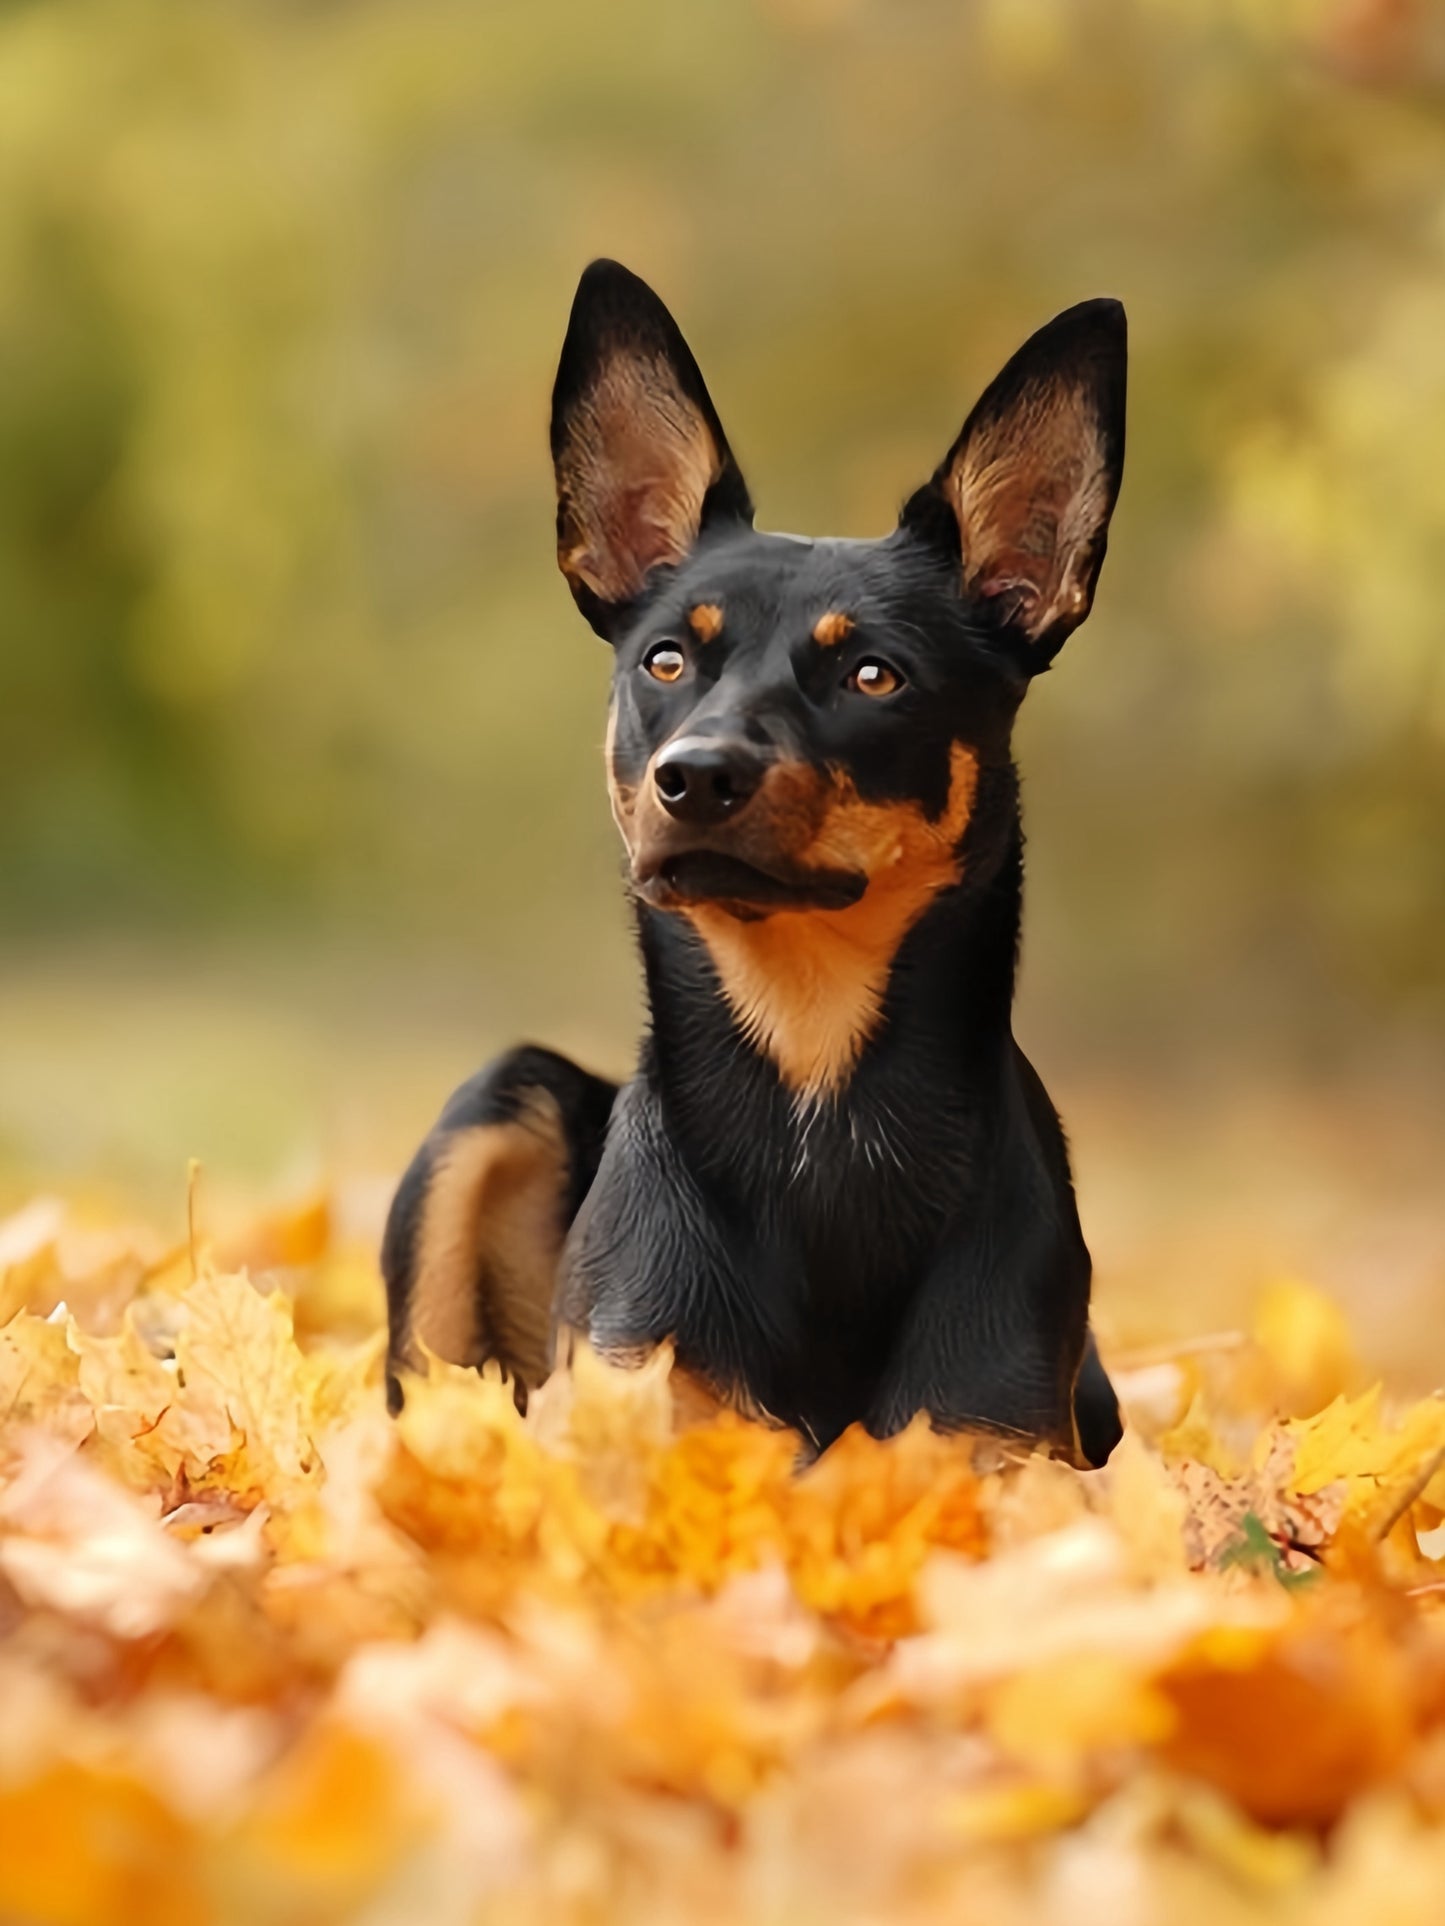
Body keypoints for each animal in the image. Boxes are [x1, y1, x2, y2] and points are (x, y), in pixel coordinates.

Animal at [385, 252, 1132, 1456]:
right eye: (665, 659)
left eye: (874, 674)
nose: (693, 777)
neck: (815, 1099)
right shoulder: (644, 1400)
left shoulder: (994, 1441)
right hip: (496, 1106)